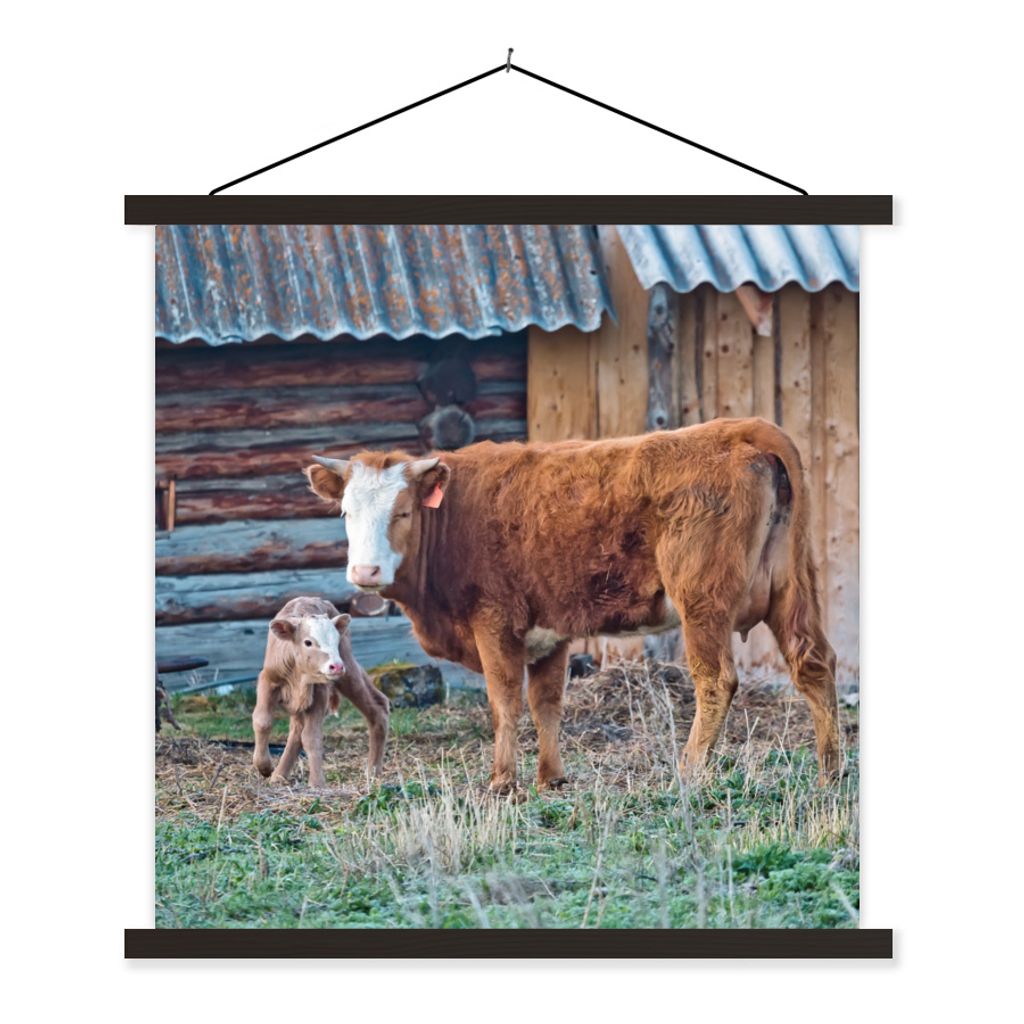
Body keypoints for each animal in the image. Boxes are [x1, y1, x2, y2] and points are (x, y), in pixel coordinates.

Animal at [252, 596, 389, 787]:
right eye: (308, 642)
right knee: (296, 730)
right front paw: (264, 767)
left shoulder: (320, 692)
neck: (298, 675)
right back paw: (279, 775)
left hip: (347, 670)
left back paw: (373, 772)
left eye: (335, 640)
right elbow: (262, 721)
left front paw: (317, 783)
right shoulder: (268, 679)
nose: (336, 666)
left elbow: (311, 736)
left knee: (377, 707)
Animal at [304, 418, 839, 793]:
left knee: (716, 680)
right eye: (346, 512)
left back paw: (688, 770)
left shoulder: (494, 621)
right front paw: (551, 777)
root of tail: (743, 427)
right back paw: (829, 772)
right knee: (813, 663)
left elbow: (504, 701)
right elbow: (547, 703)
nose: (365, 573)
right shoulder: (549, 632)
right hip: (793, 587)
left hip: (702, 600)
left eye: (402, 511)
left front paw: (503, 781)